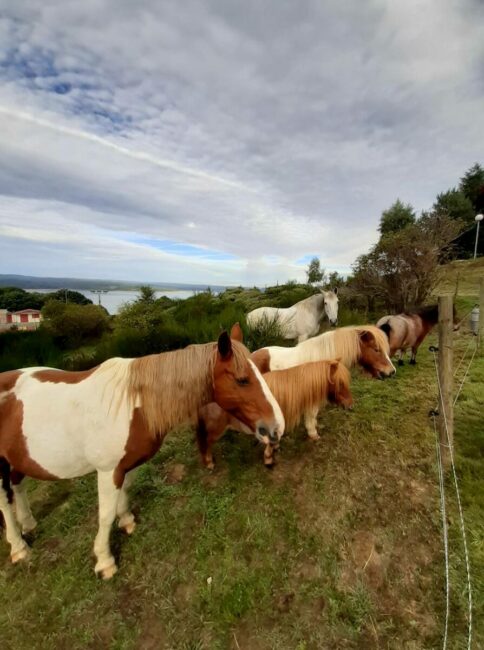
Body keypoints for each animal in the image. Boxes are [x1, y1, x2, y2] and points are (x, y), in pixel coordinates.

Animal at [0, 326, 284, 576]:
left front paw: (127, 520)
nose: (276, 426)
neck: (133, 403)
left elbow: (124, 494)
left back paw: (29, 523)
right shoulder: (108, 471)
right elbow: (105, 515)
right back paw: (19, 547)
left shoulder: (127, 465)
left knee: (18, 486)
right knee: (5, 502)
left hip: (16, 459)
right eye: (242, 380)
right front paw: (105, 561)